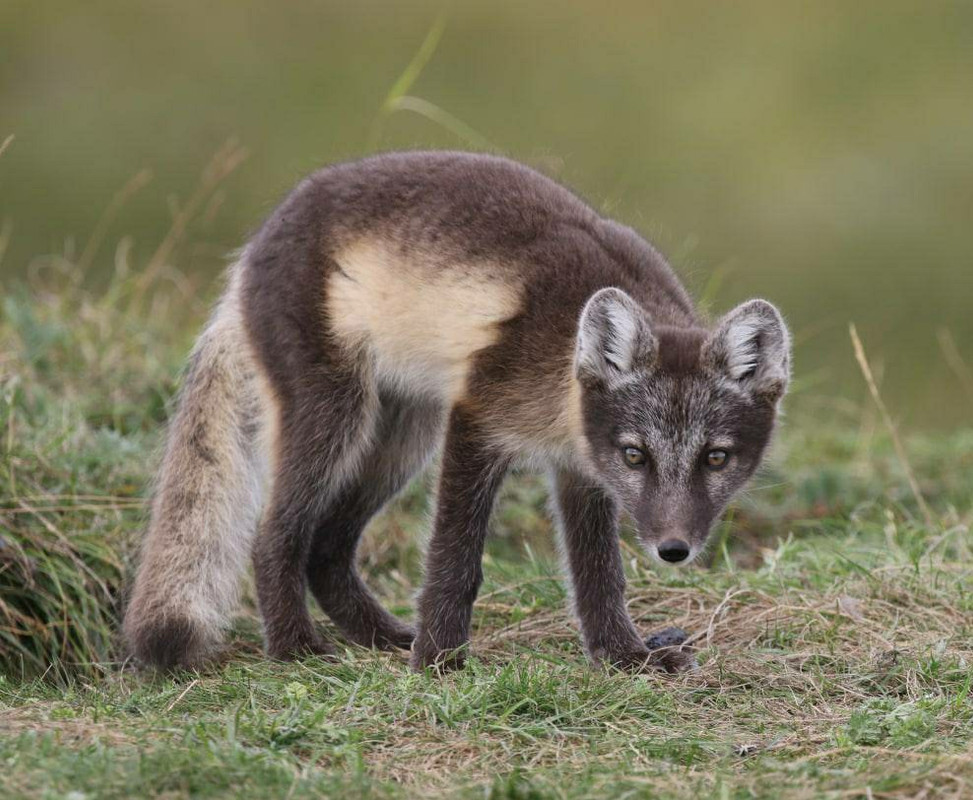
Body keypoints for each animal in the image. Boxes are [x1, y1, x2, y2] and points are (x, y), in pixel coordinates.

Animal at [123, 152, 788, 676]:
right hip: (336, 413)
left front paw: (623, 658)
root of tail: (250, 252)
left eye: (716, 458)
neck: (560, 383)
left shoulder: (578, 469)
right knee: (274, 537)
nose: (673, 550)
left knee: (328, 546)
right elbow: (455, 559)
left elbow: (598, 576)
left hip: (402, 438)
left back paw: (383, 638)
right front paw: (440, 660)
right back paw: (297, 649)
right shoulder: (477, 420)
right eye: (636, 455)